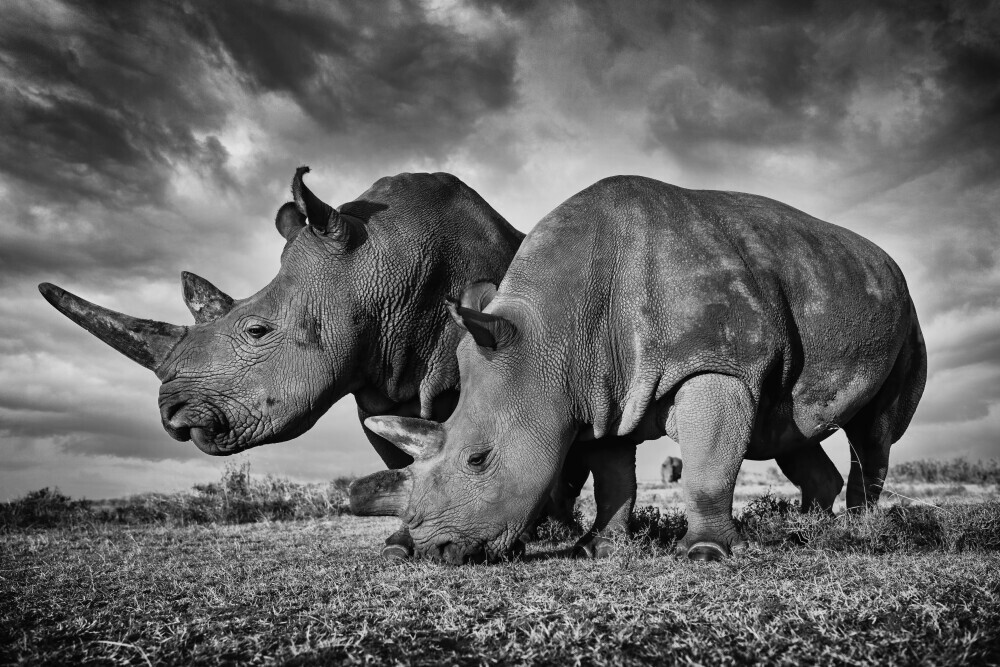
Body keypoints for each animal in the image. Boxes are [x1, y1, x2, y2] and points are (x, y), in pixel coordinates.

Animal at [41, 170, 584, 556]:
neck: (380, 265)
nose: (171, 415)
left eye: (257, 331)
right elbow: (403, 457)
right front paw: (401, 544)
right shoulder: (373, 379)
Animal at [348, 176, 924, 564]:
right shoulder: (595, 387)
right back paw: (804, 533)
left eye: (478, 460)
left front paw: (706, 555)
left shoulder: (715, 365)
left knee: (873, 433)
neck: (551, 332)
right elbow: (612, 477)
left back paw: (860, 531)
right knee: (787, 429)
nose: (431, 550)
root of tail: (887, 261)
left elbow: (706, 468)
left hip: (906, 312)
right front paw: (596, 549)